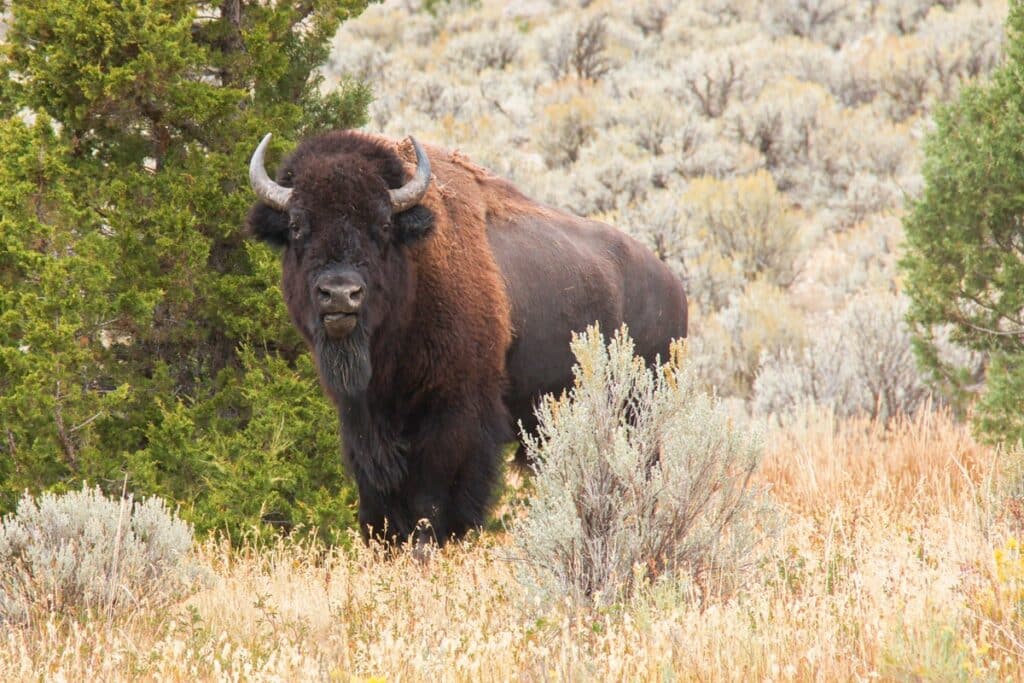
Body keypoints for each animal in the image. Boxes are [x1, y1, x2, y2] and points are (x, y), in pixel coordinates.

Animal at [243, 129, 684, 548]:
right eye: (297, 226)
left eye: (383, 224)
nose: (339, 293)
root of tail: (672, 286)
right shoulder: (364, 423)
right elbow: (378, 504)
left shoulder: (454, 417)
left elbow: (431, 503)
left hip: (637, 410)